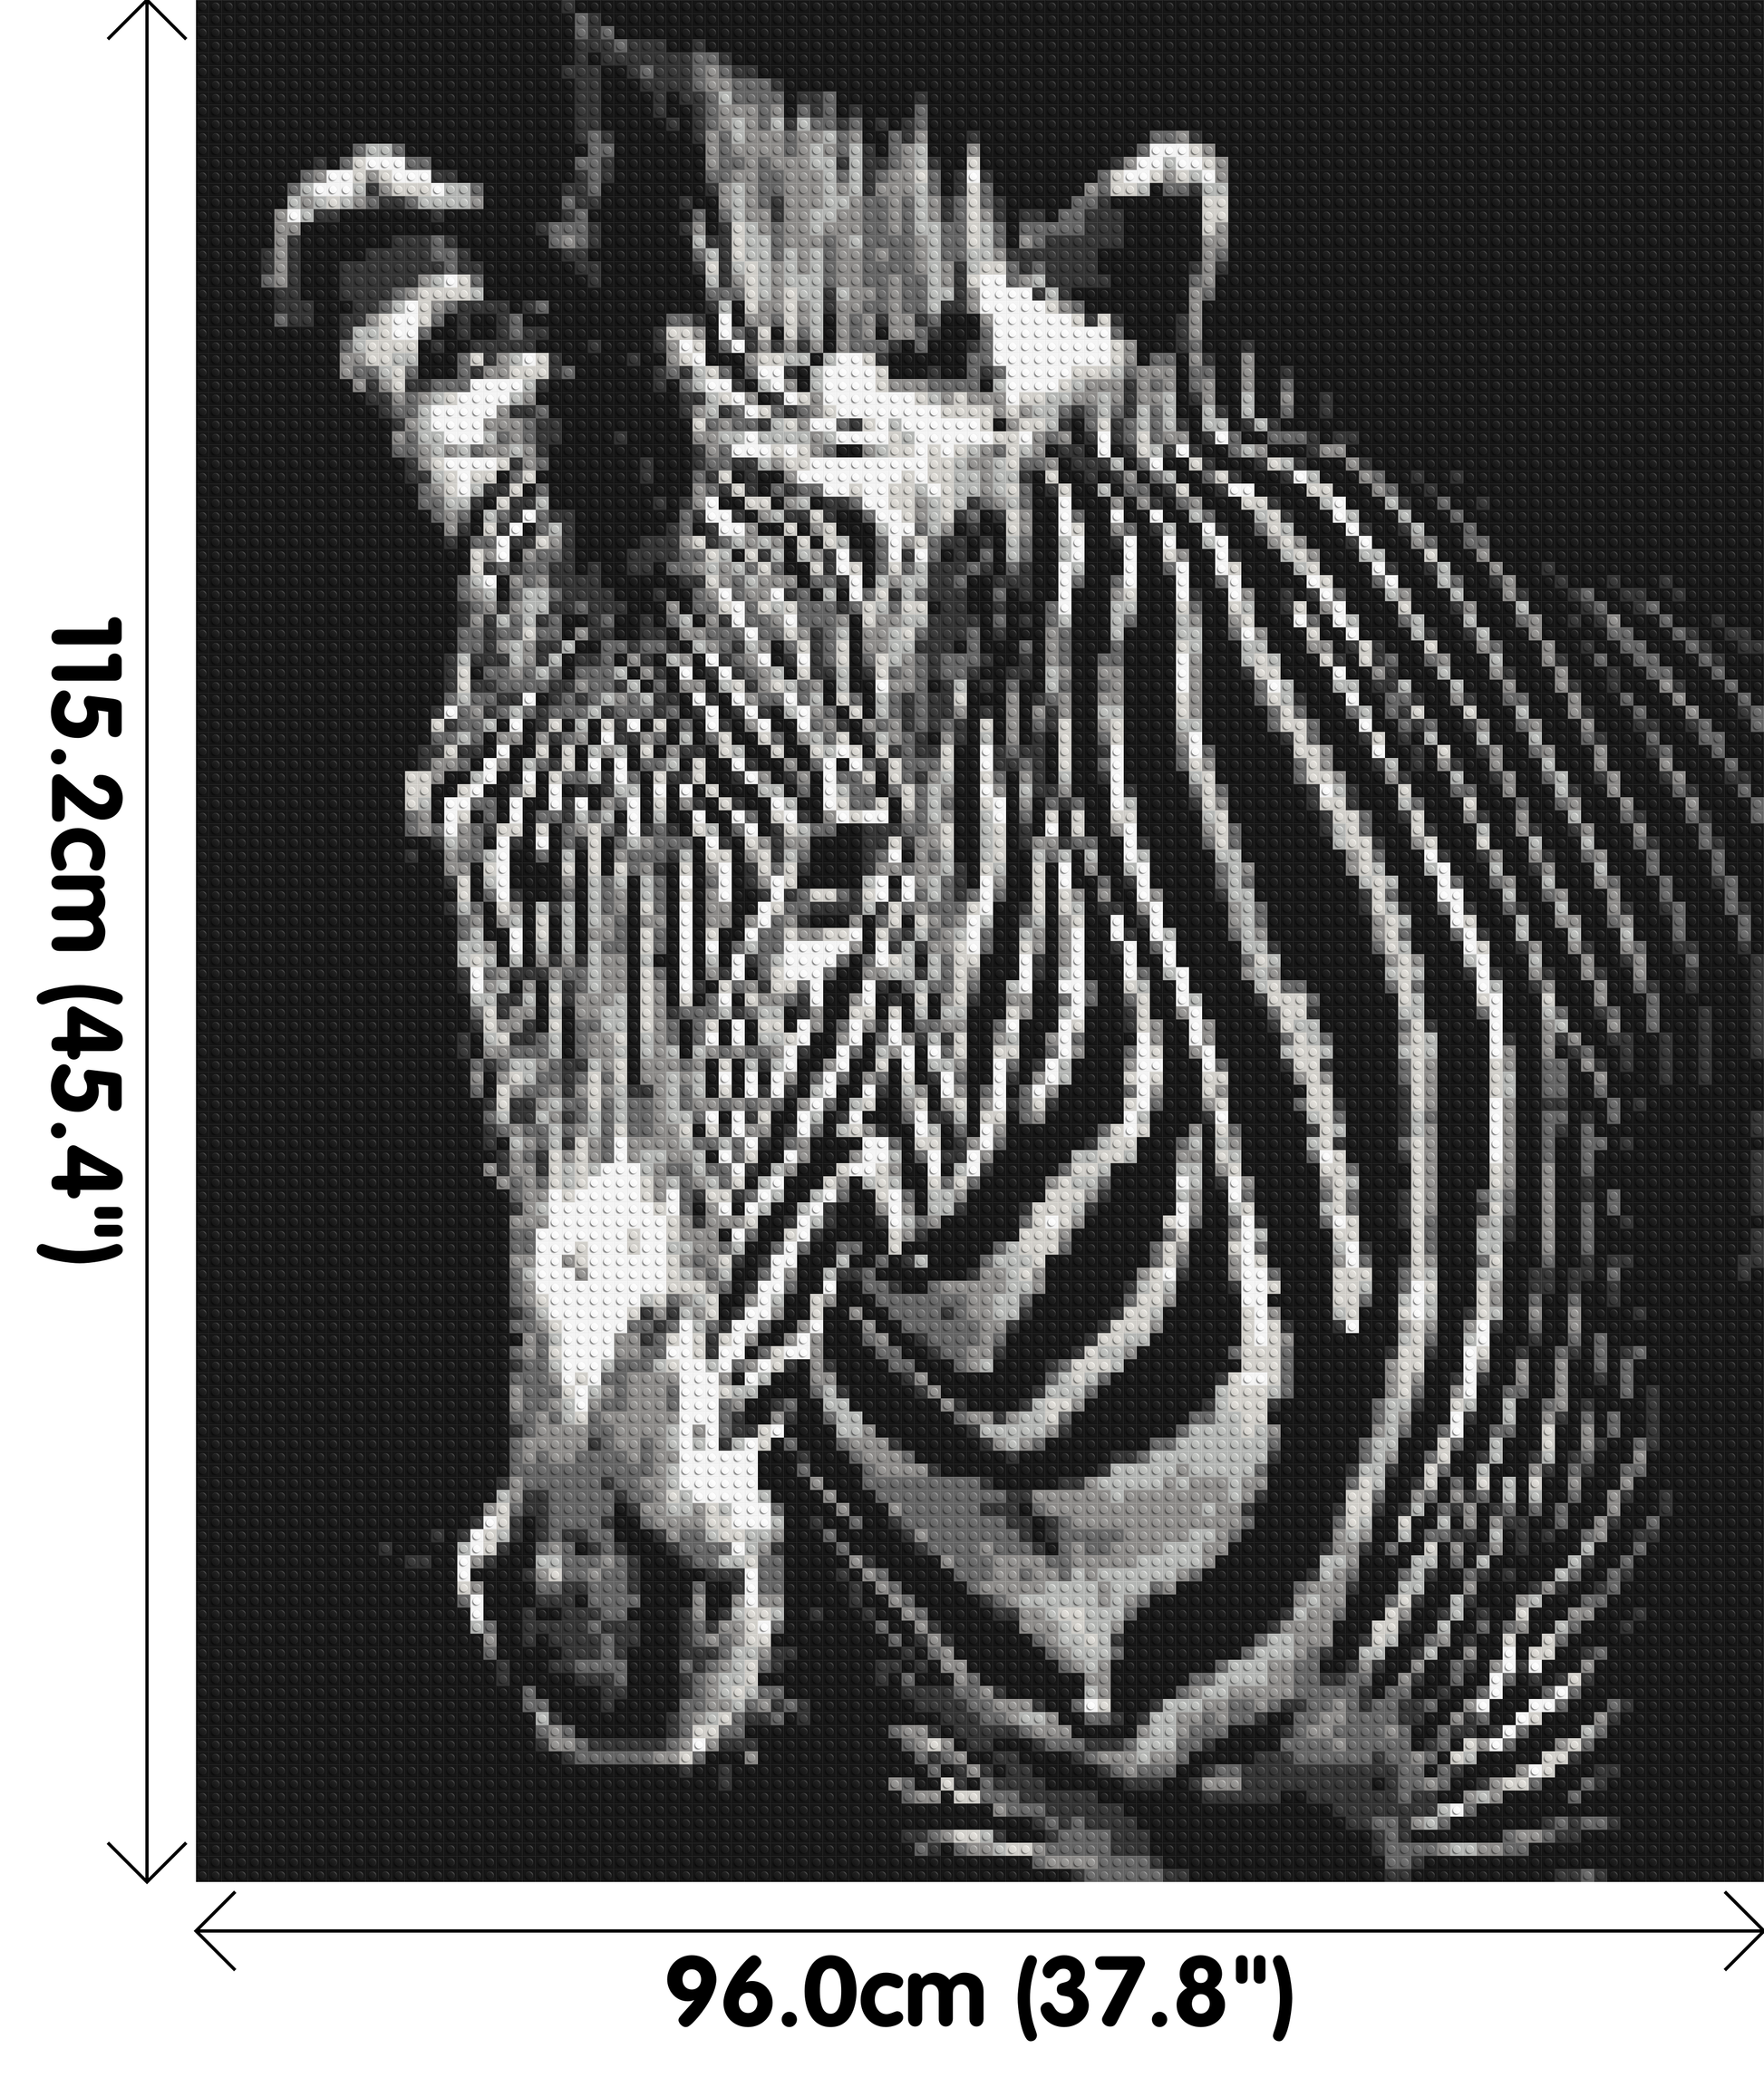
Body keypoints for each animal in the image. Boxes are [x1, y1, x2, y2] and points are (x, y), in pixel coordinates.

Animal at [268, 14, 1760, 1875]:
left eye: (843, 861)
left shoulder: (1524, 1743)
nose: (595, 1616)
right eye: (448, 843)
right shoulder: (985, 1781)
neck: (1020, 1405)